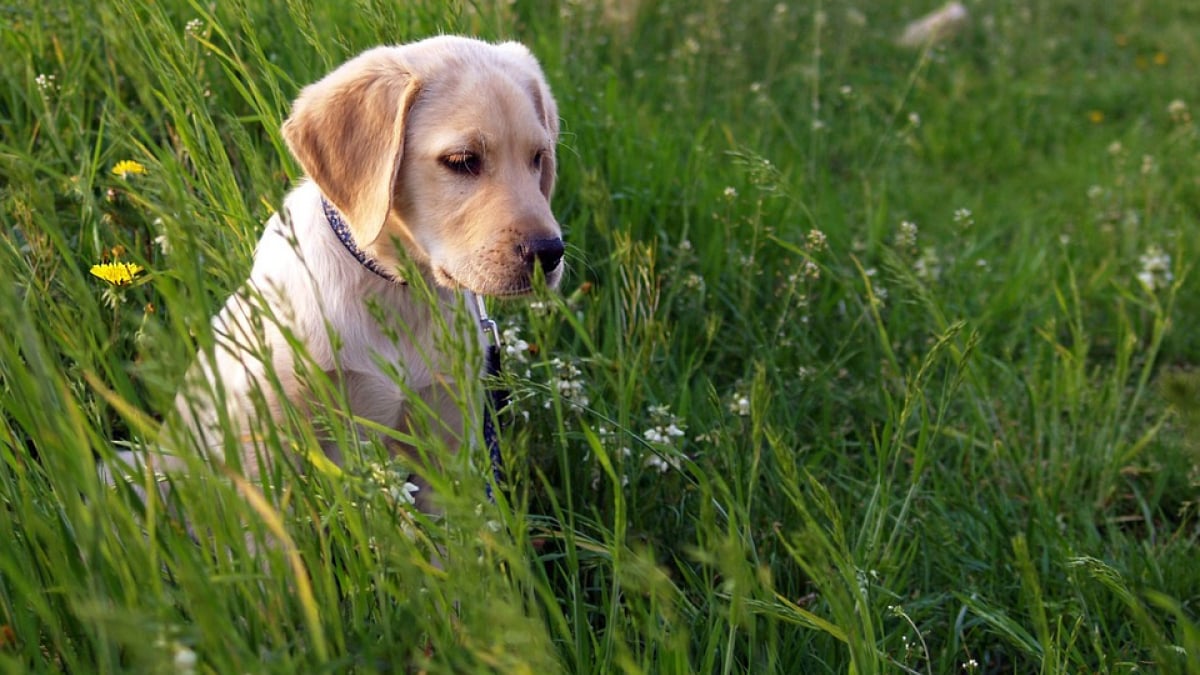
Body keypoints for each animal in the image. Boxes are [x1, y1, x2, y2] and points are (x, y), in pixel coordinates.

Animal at [106, 35, 561, 509]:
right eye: (462, 160)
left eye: (538, 158)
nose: (550, 253)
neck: (395, 289)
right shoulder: (267, 442)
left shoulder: (448, 448)